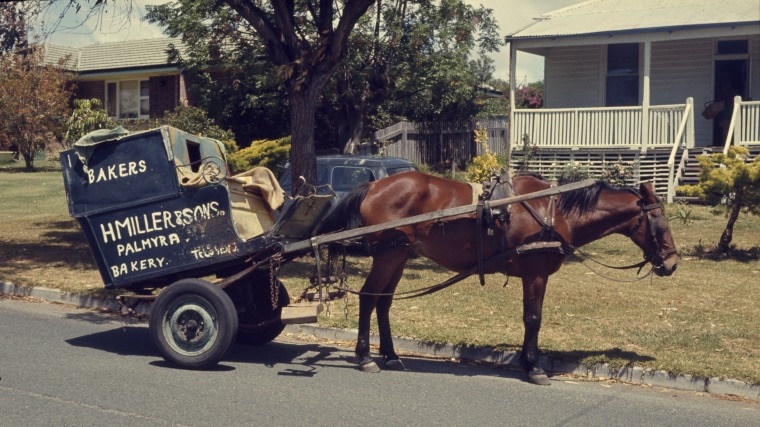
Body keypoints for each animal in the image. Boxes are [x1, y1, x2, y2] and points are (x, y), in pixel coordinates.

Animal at [318, 172, 680, 386]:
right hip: (388, 254)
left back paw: (391, 356)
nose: (672, 263)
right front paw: (534, 367)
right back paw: (365, 357)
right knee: (369, 298)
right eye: (660, 220)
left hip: (399, 255)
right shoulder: (535, 273)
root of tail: (374, 185)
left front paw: (527, 361)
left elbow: (530, 318)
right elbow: (533, 318)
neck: (554, 211)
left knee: (383, 302)